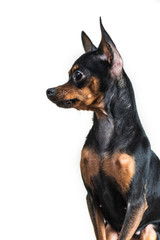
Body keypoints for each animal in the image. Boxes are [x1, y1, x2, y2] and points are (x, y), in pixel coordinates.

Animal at [46, 19, 160, 240]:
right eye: (68, 75)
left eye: (78, 75)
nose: (49, 91)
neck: (106, 128)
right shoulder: (92, 199)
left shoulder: (136, 203)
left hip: (149, 230)